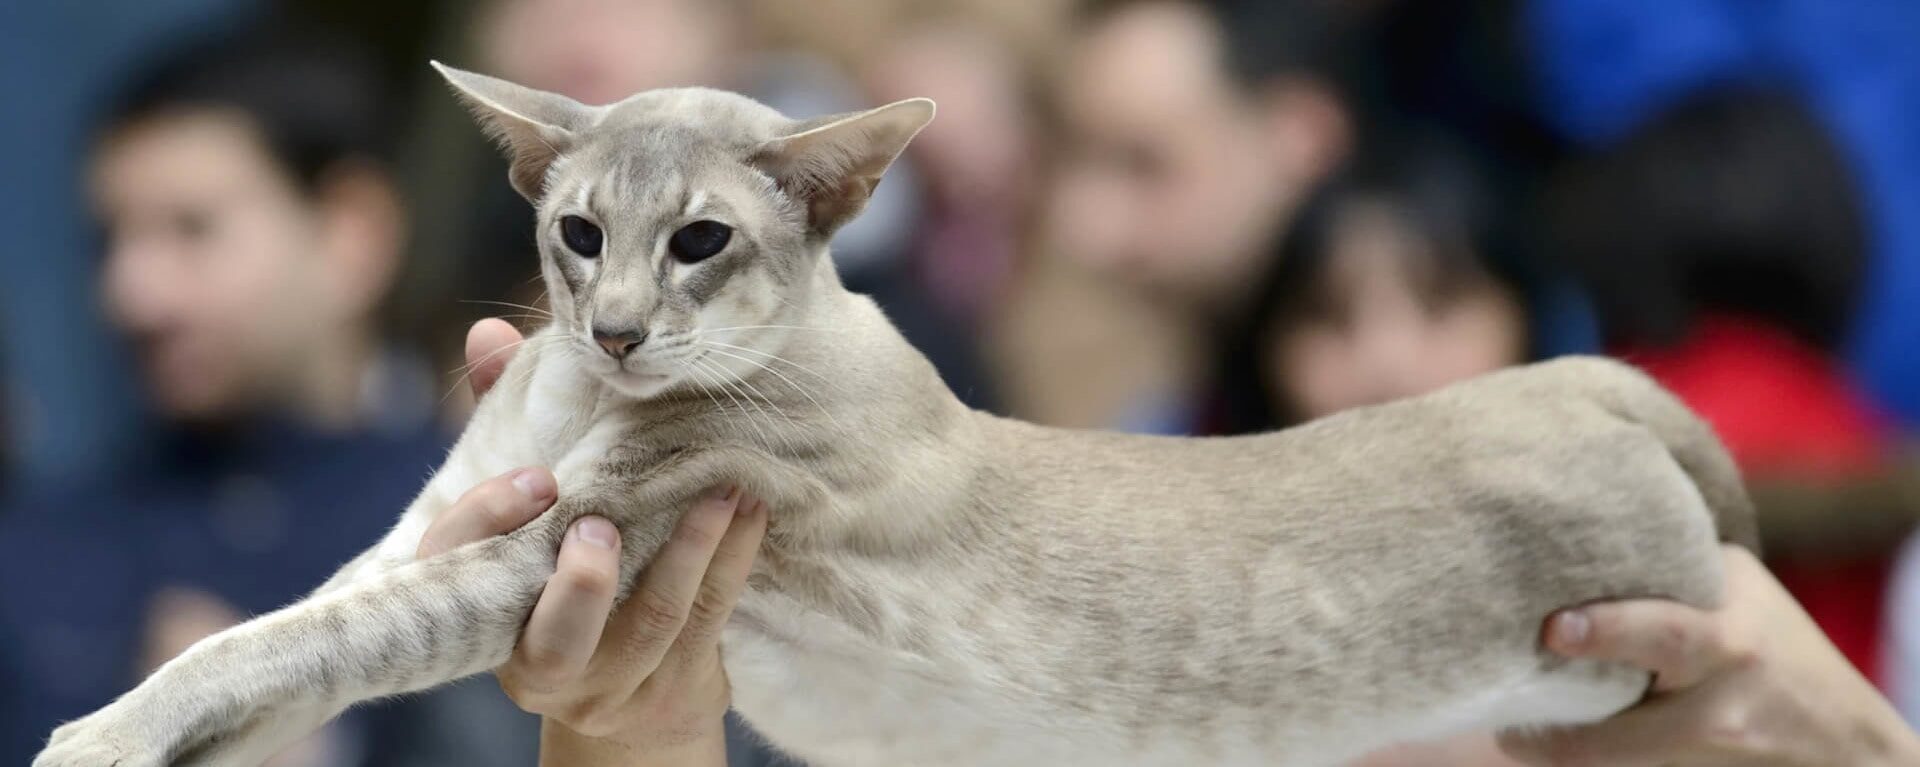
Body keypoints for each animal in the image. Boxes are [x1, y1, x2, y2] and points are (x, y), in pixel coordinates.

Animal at [33, 64, 1758, 767]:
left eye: (701, 241)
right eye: (577, 232)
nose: (619, 326)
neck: (579, 387)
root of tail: (1567, 371)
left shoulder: (559, 542)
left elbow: (286, 639)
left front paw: (95, 732)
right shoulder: (449, 508)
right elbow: (278, 638)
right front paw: (152, 729)